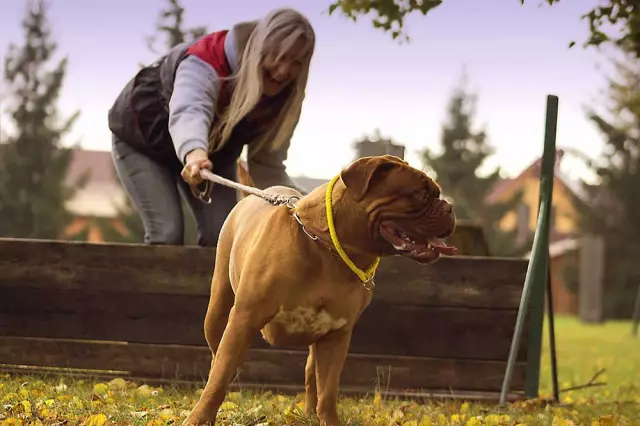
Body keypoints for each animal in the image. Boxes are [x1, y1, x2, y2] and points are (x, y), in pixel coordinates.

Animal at [182, 155, 458, 426]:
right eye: (420, 195)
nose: (449, 207)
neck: (328, 248)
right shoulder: (244, 320)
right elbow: (220, 377)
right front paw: (198, 418)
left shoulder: (336, 335)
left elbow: (327, 389)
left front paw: (327, 419)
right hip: (218, 311)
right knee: (217, 358)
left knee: (310, 373)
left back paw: (310, 414)